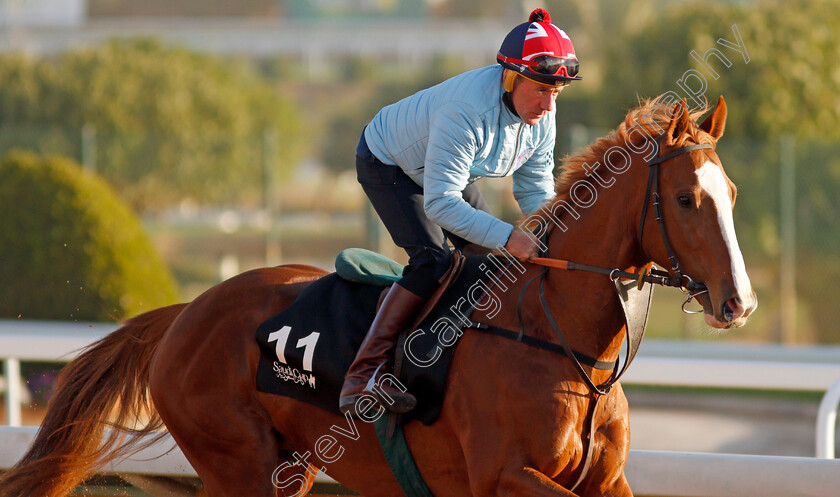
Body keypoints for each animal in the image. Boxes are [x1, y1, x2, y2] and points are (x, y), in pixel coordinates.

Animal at [0, 94, 756, 496]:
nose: (738, 302)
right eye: (686, 199)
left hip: (288, 467)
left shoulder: (604, 479)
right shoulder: (503, 476)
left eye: (732, 192)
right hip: (240, 463)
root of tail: (186, 312)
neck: (559, 340)